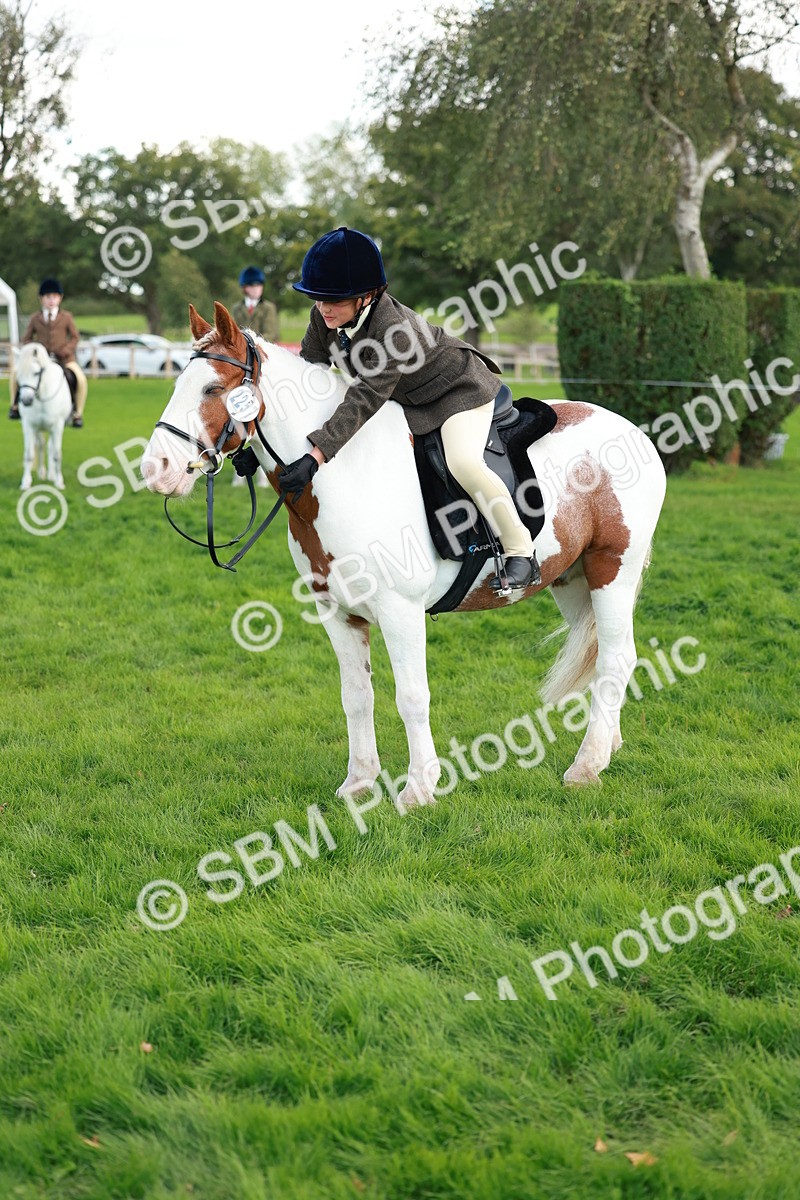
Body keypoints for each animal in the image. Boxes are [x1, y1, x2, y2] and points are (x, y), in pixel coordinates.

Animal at [16, 343, 73, 491]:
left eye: (36, 373)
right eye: (18, 374)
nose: (26, 400)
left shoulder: (58, 426)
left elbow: (57, 454)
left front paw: (59, 482)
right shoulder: (29, 426)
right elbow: (29, 454)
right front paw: (26, 482)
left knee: (50, 448)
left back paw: (51, 475)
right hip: (39, 429)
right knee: (41, 445)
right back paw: (42, 473)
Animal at [142, 302, 667, 801]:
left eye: (212, 389)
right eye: (178, 383)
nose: (155, 468)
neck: (341, 472)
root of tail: (635, 432)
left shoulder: (400, 611)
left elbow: (412, 697)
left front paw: (419, 789)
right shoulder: (338, 613)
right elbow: (356, 696)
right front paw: (359, 782)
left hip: (611, 571)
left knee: (616, 659)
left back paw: (586, 766)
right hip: (572, 579)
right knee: (608, 657)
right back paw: (607, 746)